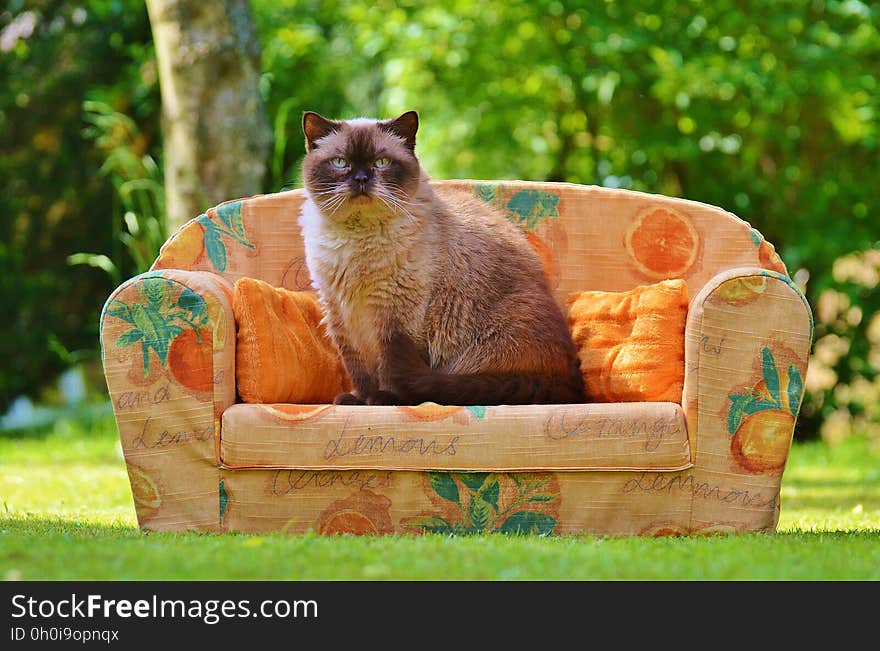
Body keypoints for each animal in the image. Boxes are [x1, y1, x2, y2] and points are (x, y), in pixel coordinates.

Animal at [298, 112, 584, 408]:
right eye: (340, 162)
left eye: (381, 162)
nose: (361, 179)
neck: (358, 241)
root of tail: (569, 384)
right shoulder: (340, 313)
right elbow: (358, 368)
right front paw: (358, 400)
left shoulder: (396, 316)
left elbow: (389, 364)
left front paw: (384, 399)